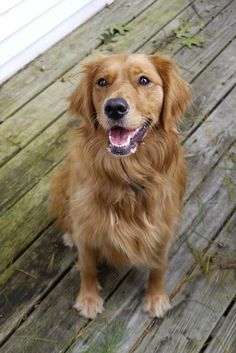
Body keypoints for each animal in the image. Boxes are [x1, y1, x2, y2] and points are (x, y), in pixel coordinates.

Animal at [50, 53, 191, 320]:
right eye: (102, 82)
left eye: (144, 80)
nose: (114, 107)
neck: (126, 177)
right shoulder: (86, 226)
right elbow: (87, 266)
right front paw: (88, 299)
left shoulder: (163, 226)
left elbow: (159, 265)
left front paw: (156, 296)